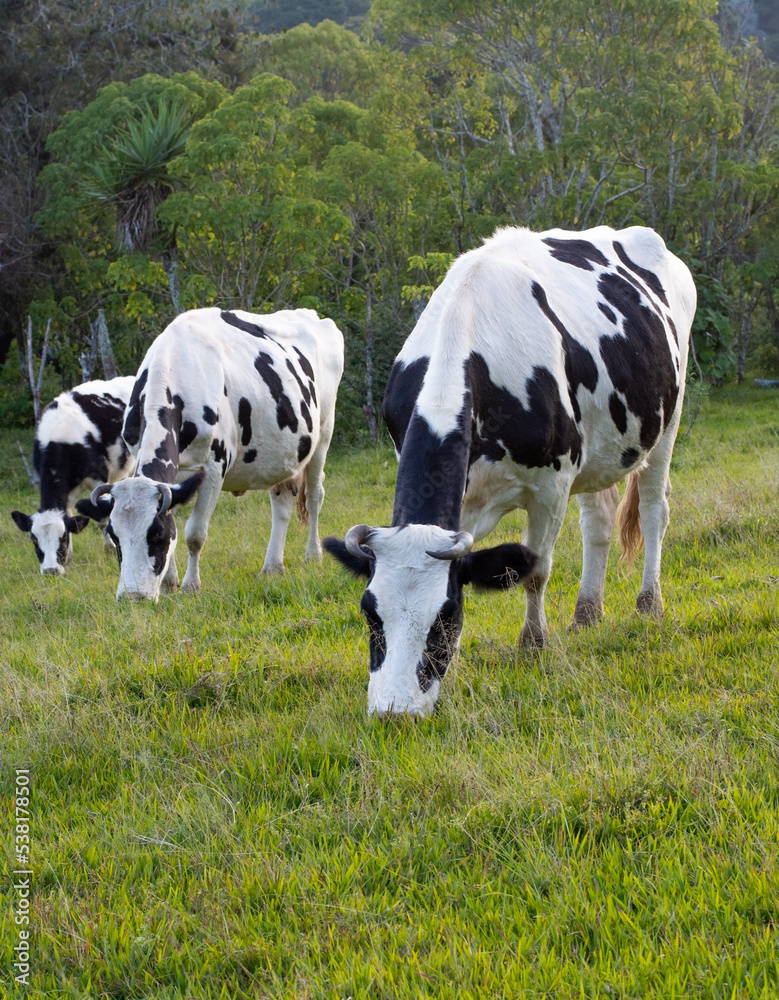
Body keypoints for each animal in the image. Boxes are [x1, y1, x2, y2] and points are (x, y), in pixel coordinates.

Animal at [11, 376, 136, 580]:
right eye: (34, 540)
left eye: (61, 538)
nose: (51, 571)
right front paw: (69, 558)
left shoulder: (98, 476)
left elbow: (101, 520)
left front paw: (110, 548)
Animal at [77, 308, 344, 596]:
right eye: (115, 536)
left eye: (156, 533)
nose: (133, 595)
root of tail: (309, 314)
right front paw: (168, 584)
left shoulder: (214, 469)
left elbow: (195, 534)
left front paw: (190, 586)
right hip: (283, 454)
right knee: (281, 502)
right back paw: (272, 566)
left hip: (324, 432)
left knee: (314, 495)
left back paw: (313, 555)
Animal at [322, 225, 696, 720]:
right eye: (369, 611)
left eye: (446, 614)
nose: (393, 712)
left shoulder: (551, 486)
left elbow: (535, 570)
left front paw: (533, 645)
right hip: (599, 447)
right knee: (598, 520)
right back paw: (586, 613)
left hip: (667, 420)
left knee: (654, 510)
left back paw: (649, 605)